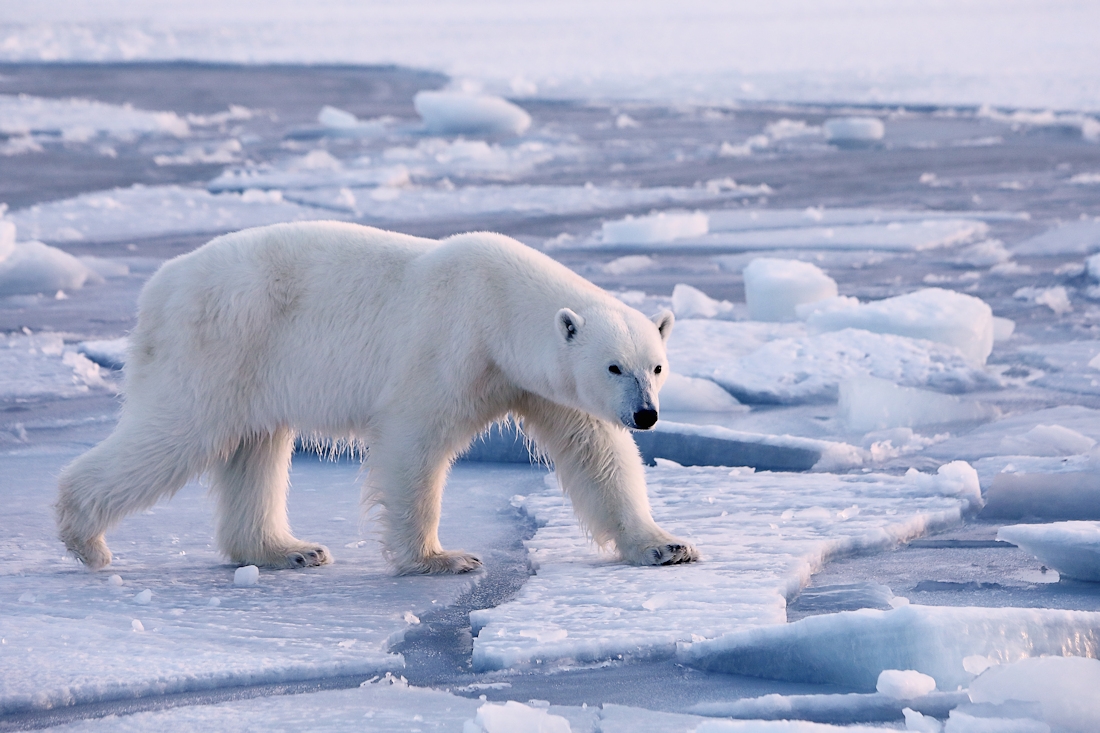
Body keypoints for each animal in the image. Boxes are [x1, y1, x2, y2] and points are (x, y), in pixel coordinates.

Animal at [56, 221, 699, 574]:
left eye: (656, 366)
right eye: (614, 366)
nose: (646, 414)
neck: (498, 304)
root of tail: (157, 289)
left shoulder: (536, 381)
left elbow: (597, 456)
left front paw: (667, 545)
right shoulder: (450, 343)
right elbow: (413, 441)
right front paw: (443, 558)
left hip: (253, 366)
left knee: (255, 448)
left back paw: (291, 549)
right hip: (219, 345)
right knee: (176, 433)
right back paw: (87, 539)